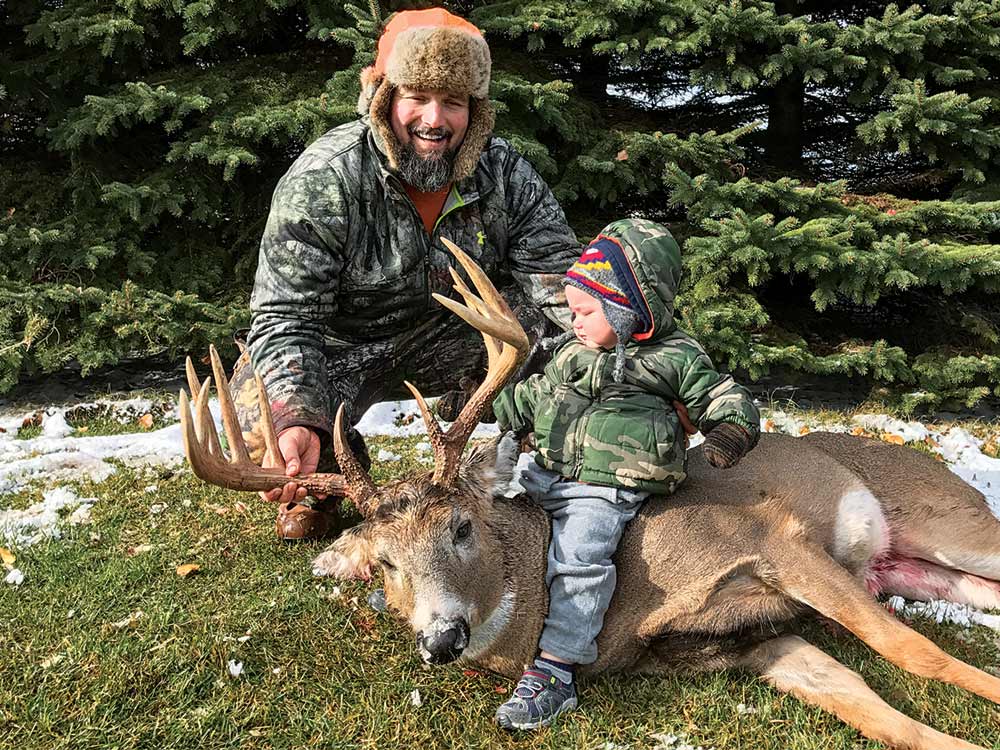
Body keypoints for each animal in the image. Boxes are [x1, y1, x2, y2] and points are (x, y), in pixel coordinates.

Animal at [179, 239, 1000, 750]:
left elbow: (911, 650)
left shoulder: (771, 538)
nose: (441, 639)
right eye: (383, 563)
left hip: (951, 522)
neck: (633, 602)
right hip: (916, 569)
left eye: (462, 527)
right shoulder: (751, 643)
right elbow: (882, 715)